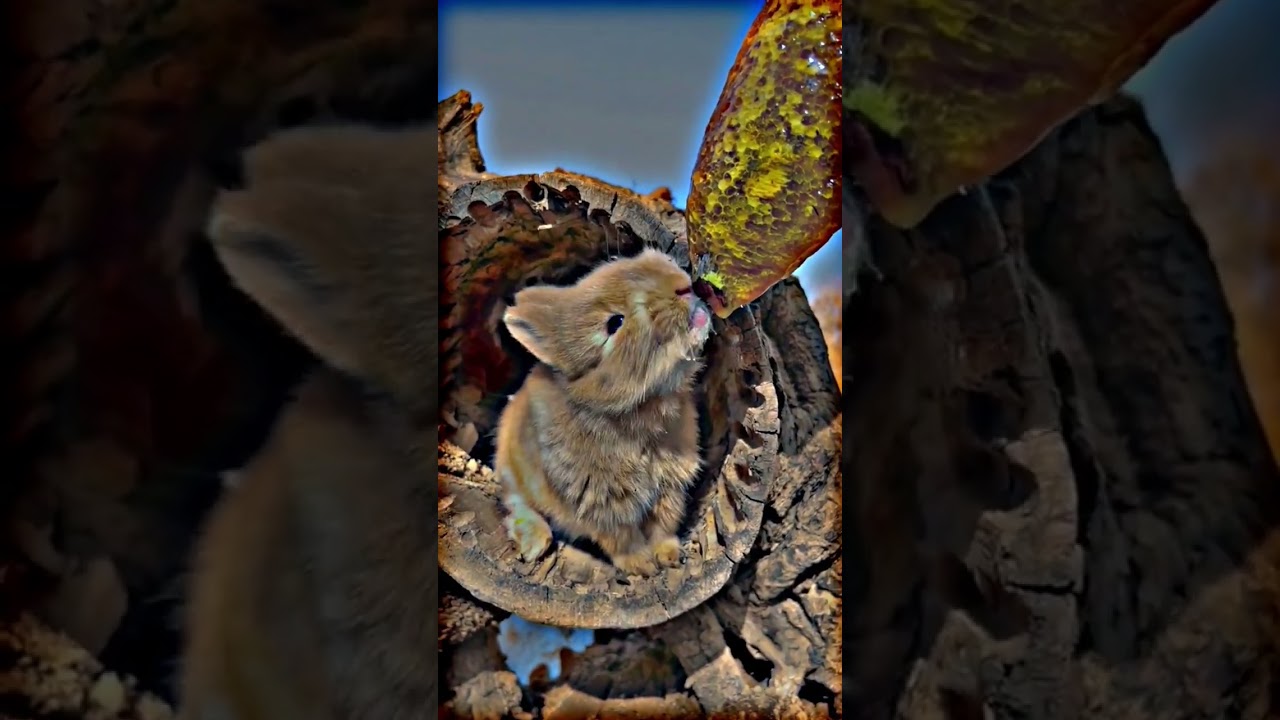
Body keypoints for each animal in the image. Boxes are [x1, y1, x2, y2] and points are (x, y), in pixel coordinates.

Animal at [495, 248, 713, 578]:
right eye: (614, 323)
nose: (682, 286)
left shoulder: (670, 486)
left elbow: (663, 523)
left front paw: (668, 555)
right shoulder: (601, 504)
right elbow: (621, 538)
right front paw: (642, 566)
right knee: (516, 502)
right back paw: (534, 541)